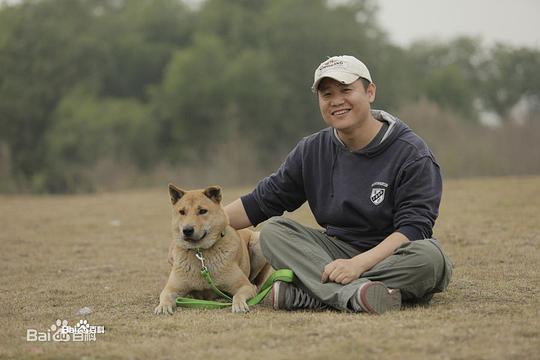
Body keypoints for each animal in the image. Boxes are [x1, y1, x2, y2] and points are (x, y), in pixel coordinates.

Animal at [153, 184, 270, 314]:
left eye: (202, 211)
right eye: (182, 212)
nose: (187, 230)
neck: (200, 253)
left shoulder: (244, 286)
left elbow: (238, 295)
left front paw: (239, 304)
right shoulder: (171, 288)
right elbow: (165, 295)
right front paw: (163, 306)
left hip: (257, 242)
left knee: (256, 283)